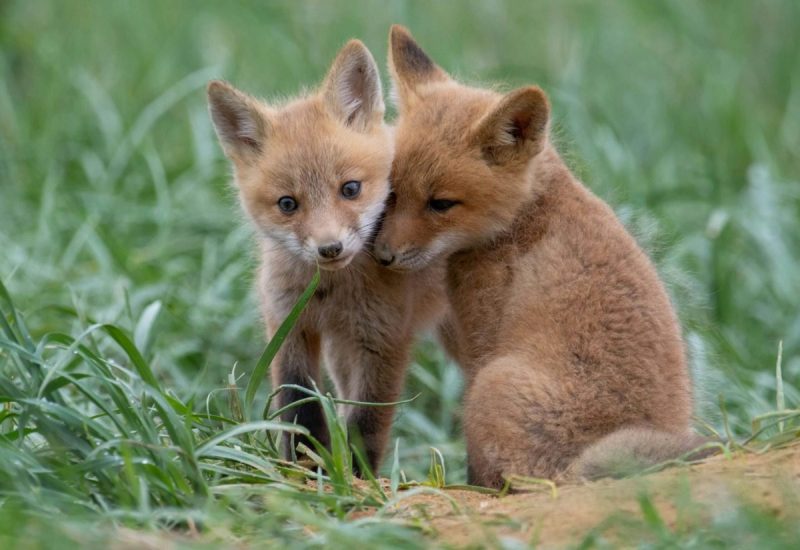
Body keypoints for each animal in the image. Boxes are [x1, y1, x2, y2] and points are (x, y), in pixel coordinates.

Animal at [207, 40, 445, 474]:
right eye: (287, 204)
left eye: (350, 188)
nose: (330, 248)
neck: (334, 292)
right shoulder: (289, 325)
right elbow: (300, 409)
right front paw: (305, 469)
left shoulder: (384, 340)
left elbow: (365, 425)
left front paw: (356, 479)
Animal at [375, 26, 710, 488]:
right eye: (391, 193)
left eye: (441, 204)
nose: (382, 255)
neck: (526, 215)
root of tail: (576, 471)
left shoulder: (482, 341)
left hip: (492, 385)